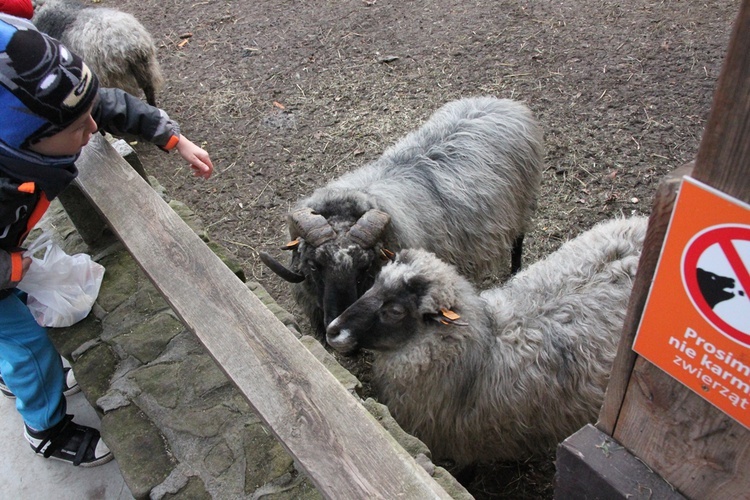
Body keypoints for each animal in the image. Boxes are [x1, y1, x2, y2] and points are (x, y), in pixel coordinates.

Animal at [262, 94, 544, 336]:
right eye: (313, 266)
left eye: (365, 267)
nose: (335, 324)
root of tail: (502, 102)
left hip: (522, 205)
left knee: (518, 241)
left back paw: (515, 272)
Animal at [326, 217, 648, 466]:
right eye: (374, 283)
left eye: (394, 311)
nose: (332, 331)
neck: (482, 352)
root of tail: (638, 225)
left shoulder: (468, 444)